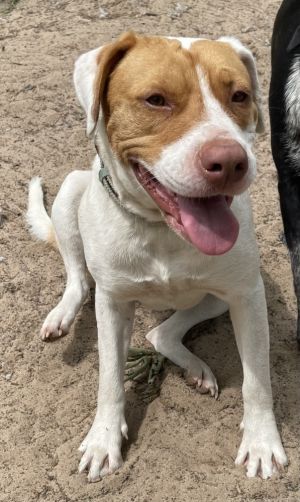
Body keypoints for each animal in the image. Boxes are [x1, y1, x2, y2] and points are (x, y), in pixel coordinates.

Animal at [28, 32, 288, 482]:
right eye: (156, 100)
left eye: (239, 95)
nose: (230, 162)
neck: (163, 230)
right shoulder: (113, 304)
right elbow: (109, 377)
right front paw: (103, 440)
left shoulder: (247, 297)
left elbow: (257, 380)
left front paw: (260, 442)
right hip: (71, 192)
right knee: (79, 279)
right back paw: (61, 316)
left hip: (223, 296)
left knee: (160, 334)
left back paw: (195, 368)